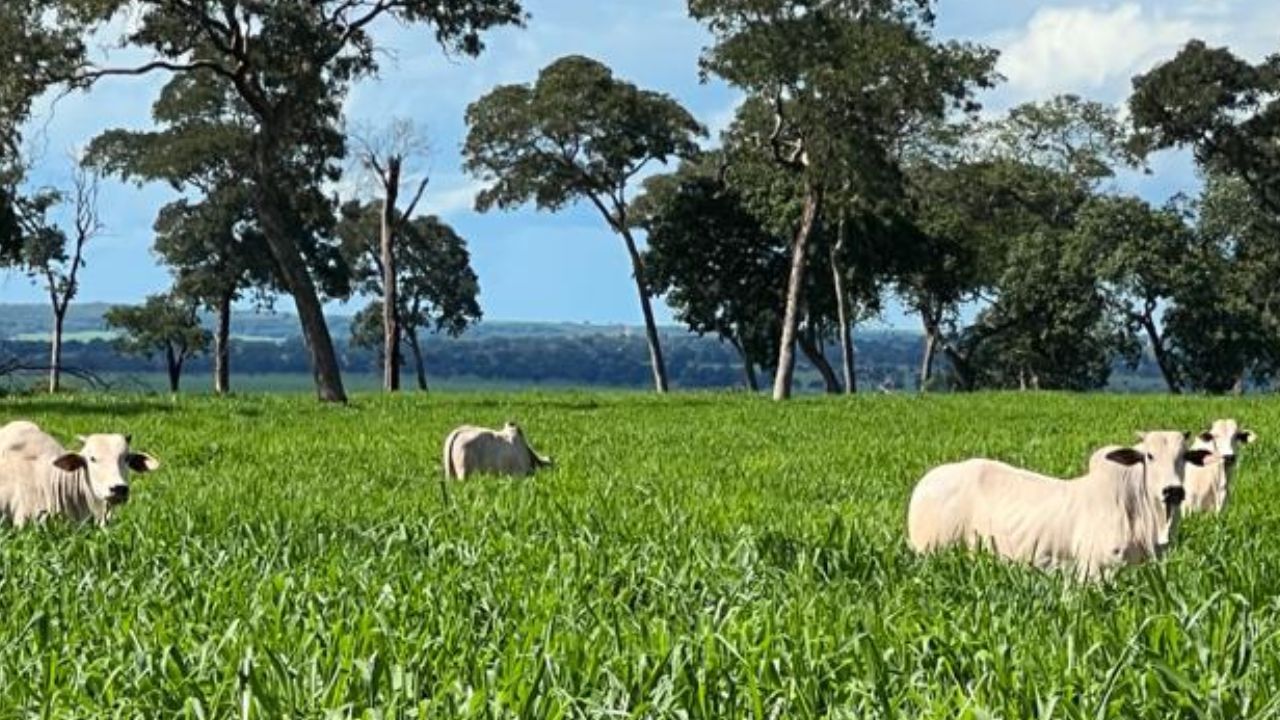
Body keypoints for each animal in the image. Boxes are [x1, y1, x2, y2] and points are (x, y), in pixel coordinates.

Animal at [906, 430, 1203, 576]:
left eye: (1184, 456)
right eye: (1149, 456)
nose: (1173, 491)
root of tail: (924, 483)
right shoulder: (1094, 572)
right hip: (931, 552)